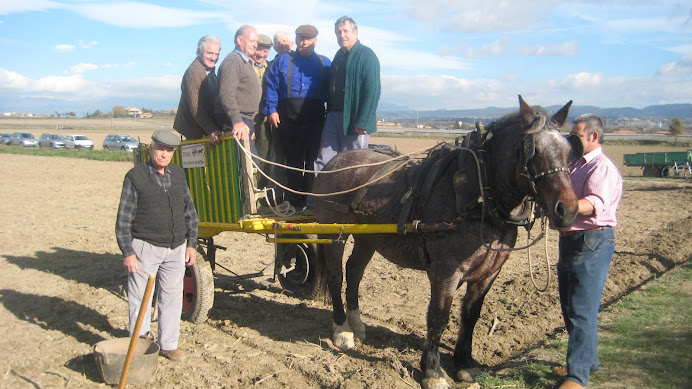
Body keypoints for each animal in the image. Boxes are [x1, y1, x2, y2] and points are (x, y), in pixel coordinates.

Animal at [314, 94, 584, 388]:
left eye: (569, 151)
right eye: (533, 151)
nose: (568, 210)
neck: (480, 194)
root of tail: (335, 161)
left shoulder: (488, 273)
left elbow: (471, 314)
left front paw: (465, 364)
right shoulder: (446, 271)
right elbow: (439, 317)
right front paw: (433, 371)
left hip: (368, 238)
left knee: (354, 272)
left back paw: (357, 324)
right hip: (333, 234)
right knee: (336, 276)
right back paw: (342, 330)